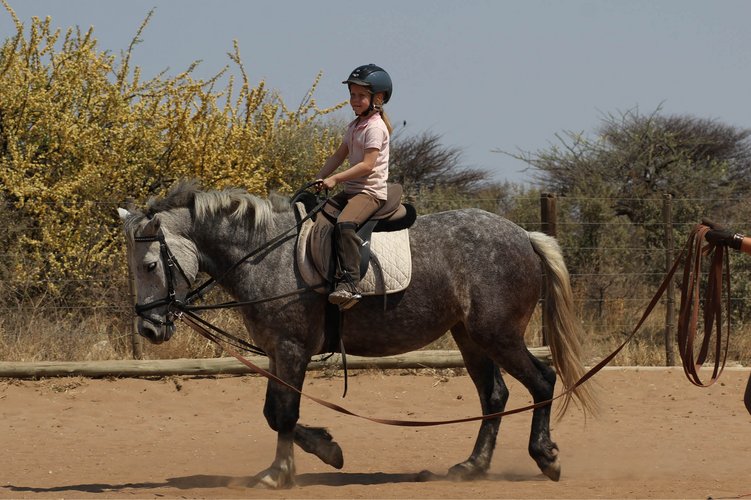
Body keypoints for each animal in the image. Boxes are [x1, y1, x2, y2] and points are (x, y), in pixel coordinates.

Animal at [119, 181, 600, 488]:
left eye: (150, 265)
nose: (148, 326)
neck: (263, 254)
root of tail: (524, 235)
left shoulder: (291, 350)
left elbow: (284, 414)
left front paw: (281, 472)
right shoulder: (278, 352)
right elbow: (275, 412)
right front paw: (324, 449)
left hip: (497, 334)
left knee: (542, 380)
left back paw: (545, 456)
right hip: (470, 338)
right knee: (494, 395)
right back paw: (473, 466)